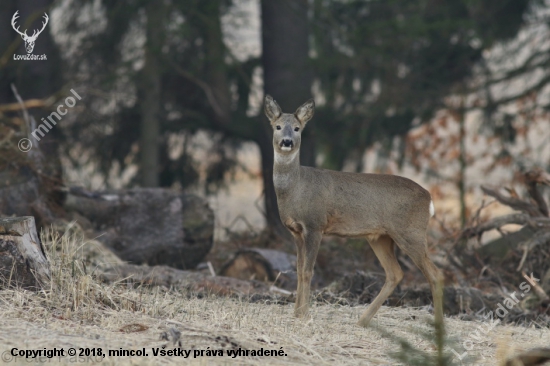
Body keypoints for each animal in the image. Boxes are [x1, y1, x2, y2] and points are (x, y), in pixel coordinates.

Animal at [266, 93, 446, 326]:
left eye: (297, 128)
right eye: (277, 126)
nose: (287, 142)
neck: (296, 189)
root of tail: (429, 199)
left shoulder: (315, 225)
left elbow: (307, 270)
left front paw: (304, 314)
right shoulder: (296, 231)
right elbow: (298, 269)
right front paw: (296, 313)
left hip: (411, 232)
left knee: (436, 274)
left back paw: (438, 324)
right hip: (380, 237)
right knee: (395, 273)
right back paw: (363, 320)